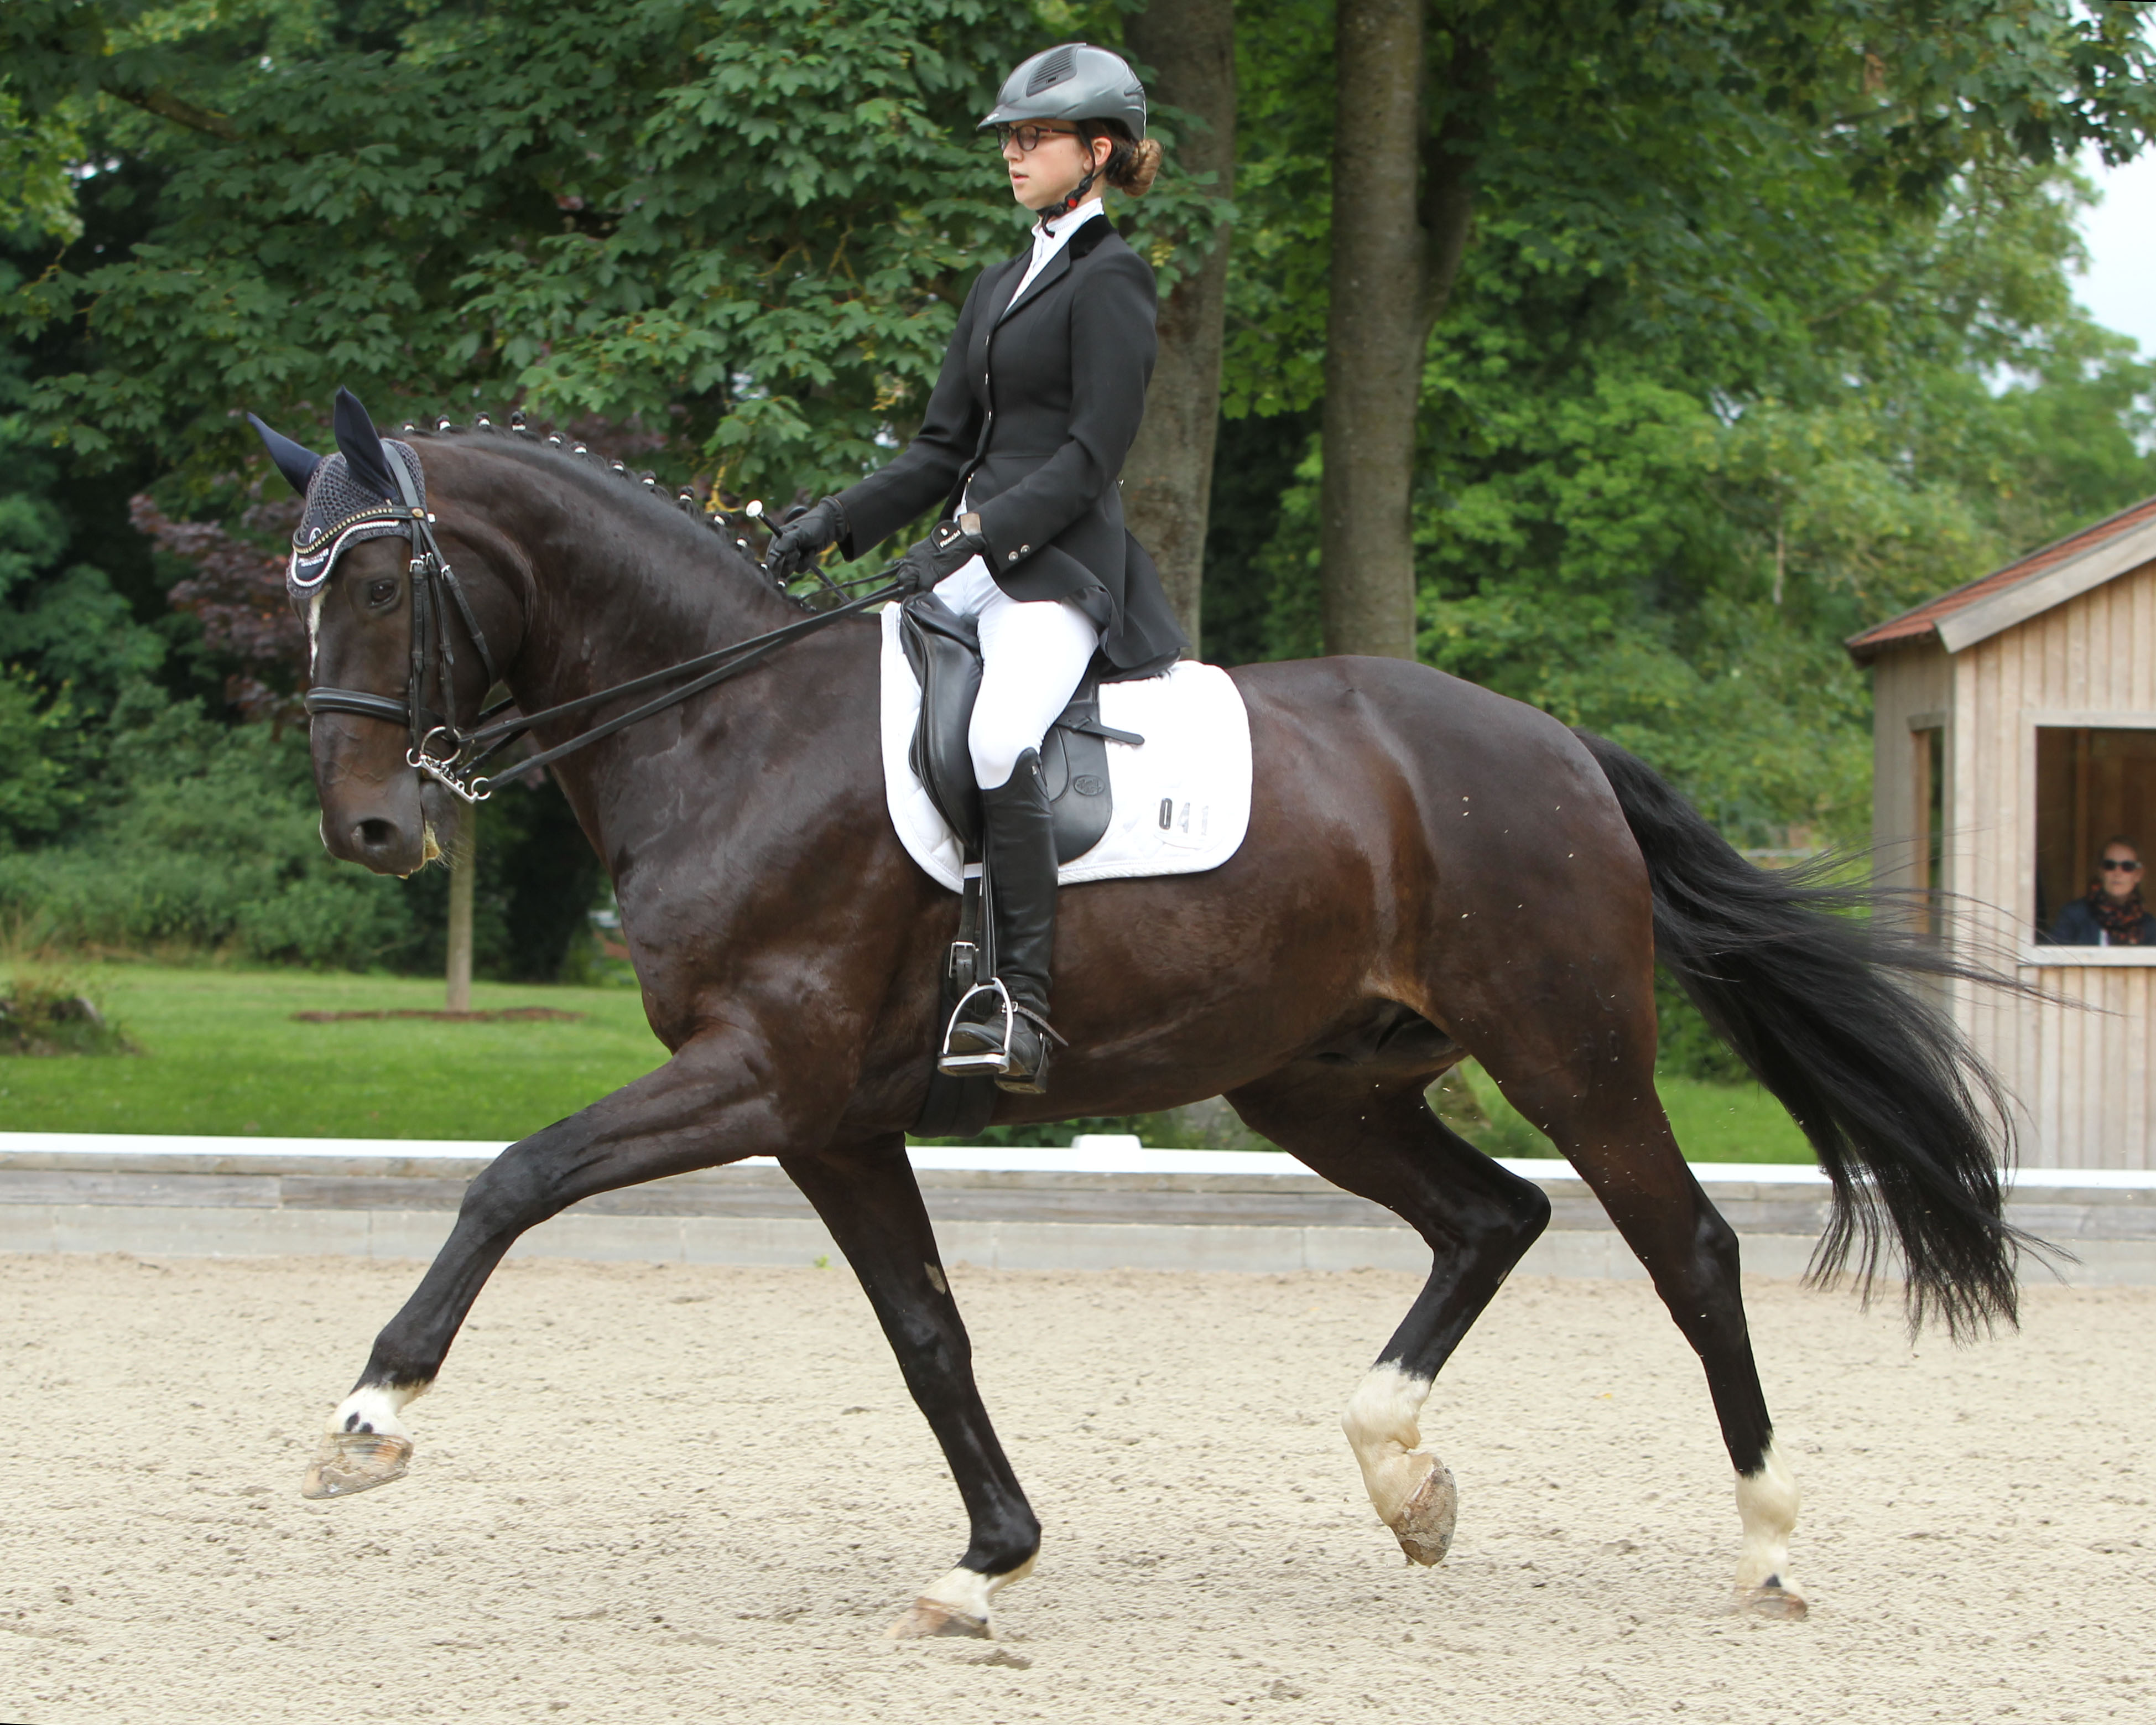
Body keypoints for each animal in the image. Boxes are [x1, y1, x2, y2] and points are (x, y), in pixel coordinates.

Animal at [282, 414, 2018, 1630]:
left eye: (374, 582)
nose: (368, 831)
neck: (727, 725)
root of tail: (1555, 744)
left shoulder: (761, 1074)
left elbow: (515, 1176)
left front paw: (367, 1416)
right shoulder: (830, 1117)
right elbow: (925, 1330)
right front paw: (988, 1561)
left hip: (1568, 1053)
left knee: (1689, 1251)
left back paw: (1767, 1545)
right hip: (1318, 1086)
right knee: (1491, 1216)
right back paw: (1405, 1478)